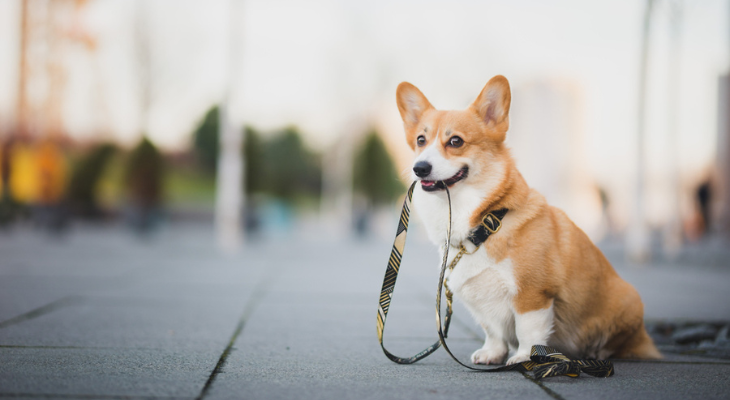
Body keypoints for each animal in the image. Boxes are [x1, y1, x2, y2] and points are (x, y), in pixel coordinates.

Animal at [398, 76, 660, 366]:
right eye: (421, 140)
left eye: (455, 141)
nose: (419, 168)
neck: (485, 225)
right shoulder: (482, 302)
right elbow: (493, 330)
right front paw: (492, 353)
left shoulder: (532, 295)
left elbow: (528, 330)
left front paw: (525, 357)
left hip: (628, 301)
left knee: (622, 343)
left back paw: (599, 352)